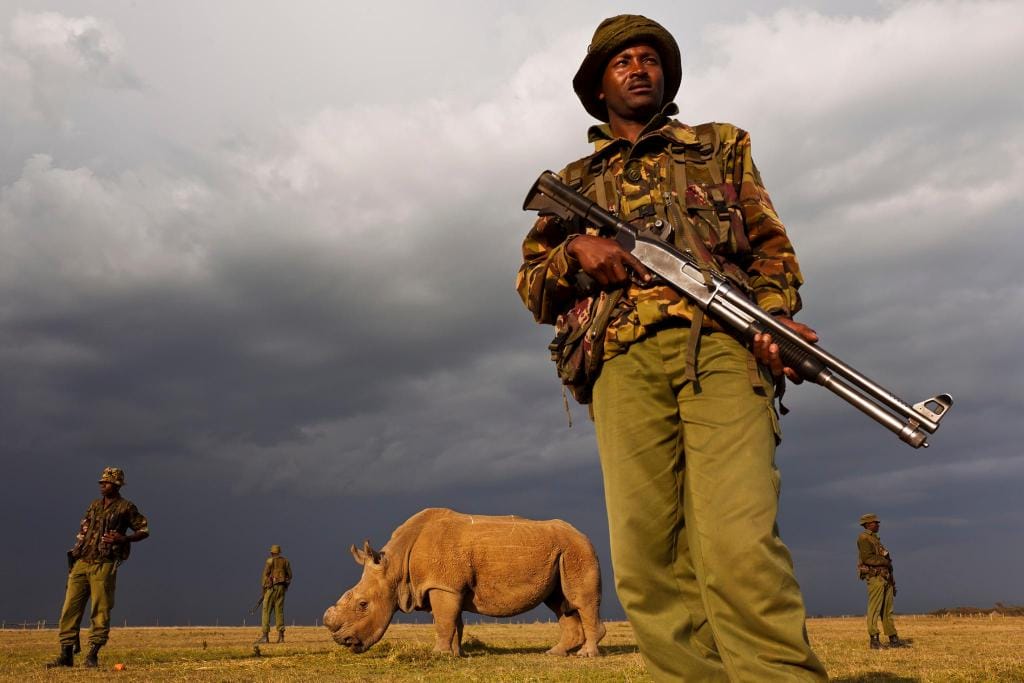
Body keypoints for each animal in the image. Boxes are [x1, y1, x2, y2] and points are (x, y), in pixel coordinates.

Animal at [323, 507, 606, 657]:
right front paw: (456, 655)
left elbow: (444, 621)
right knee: (560, 603)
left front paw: (438, 655)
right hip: (562, 551)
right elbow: (453, 622)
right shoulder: (449, 586)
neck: (396, 564)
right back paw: (555, 653)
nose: (343, 642)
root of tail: (584, 535)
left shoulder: (442, 585)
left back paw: (585, 655)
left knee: (581, 601)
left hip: (578, 550)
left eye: (363, 604)